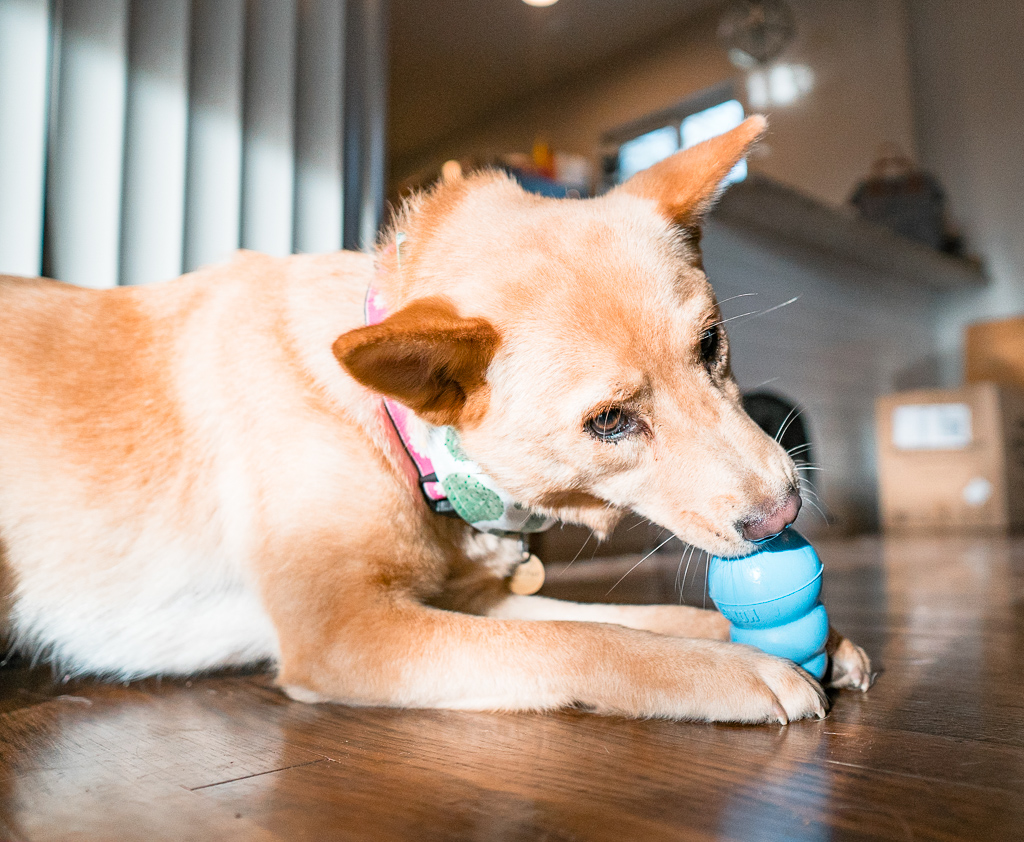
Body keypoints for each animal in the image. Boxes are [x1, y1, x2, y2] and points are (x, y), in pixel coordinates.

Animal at [0, 117, 868, 725]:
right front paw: (738, 668)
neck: (393, 430)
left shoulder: (472, 604)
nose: (786, 511)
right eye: (610, 421)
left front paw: (766, 639)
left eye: (712, 345)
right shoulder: (347, 632)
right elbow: (586, 640)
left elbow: (635, 618)